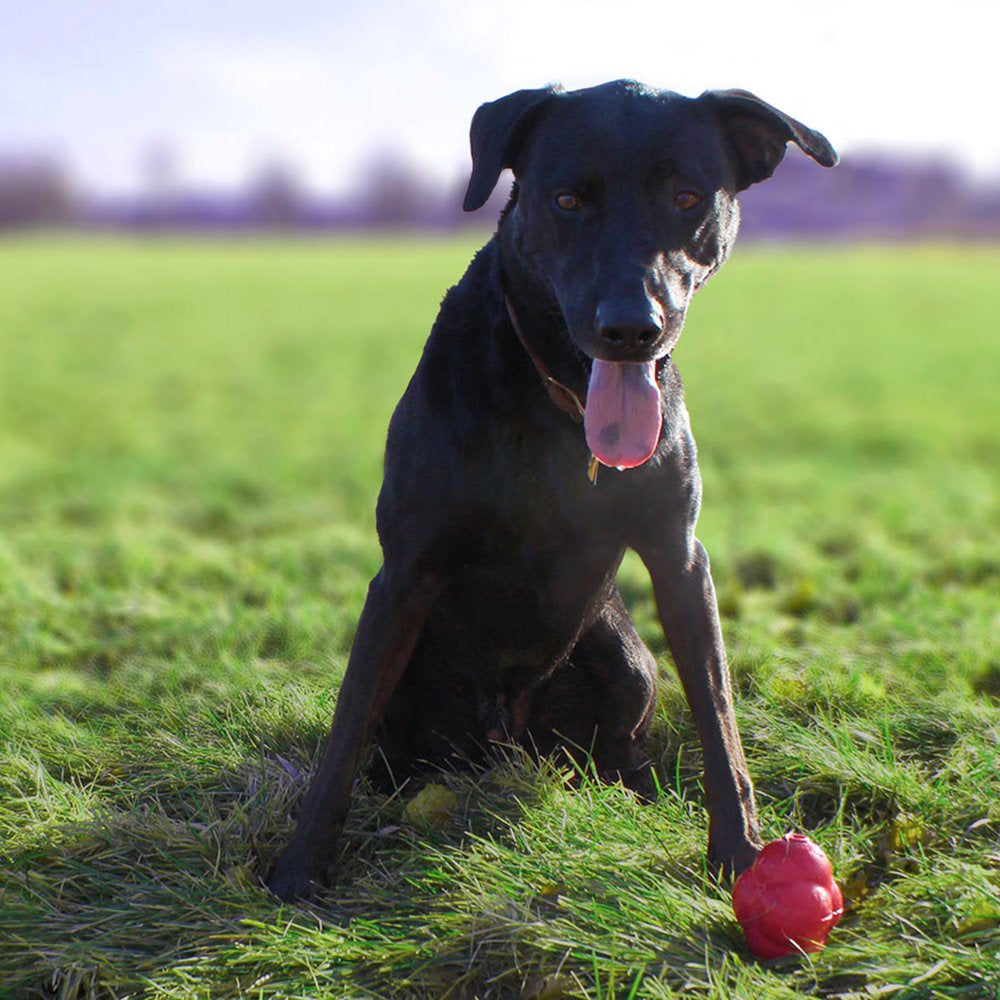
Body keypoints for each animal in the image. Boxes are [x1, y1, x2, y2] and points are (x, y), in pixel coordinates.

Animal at [266, 82, 836, 904]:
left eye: (687, 198)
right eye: (567, 199)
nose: (632, 328)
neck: (557, 398)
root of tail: (505, 741)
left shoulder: (680, 558)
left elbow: (719, 716)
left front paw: (740, 855)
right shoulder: (405, 571)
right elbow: (345, 731)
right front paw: (299, 869)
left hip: (625, 658)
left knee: (621, 750)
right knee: (383, 742)